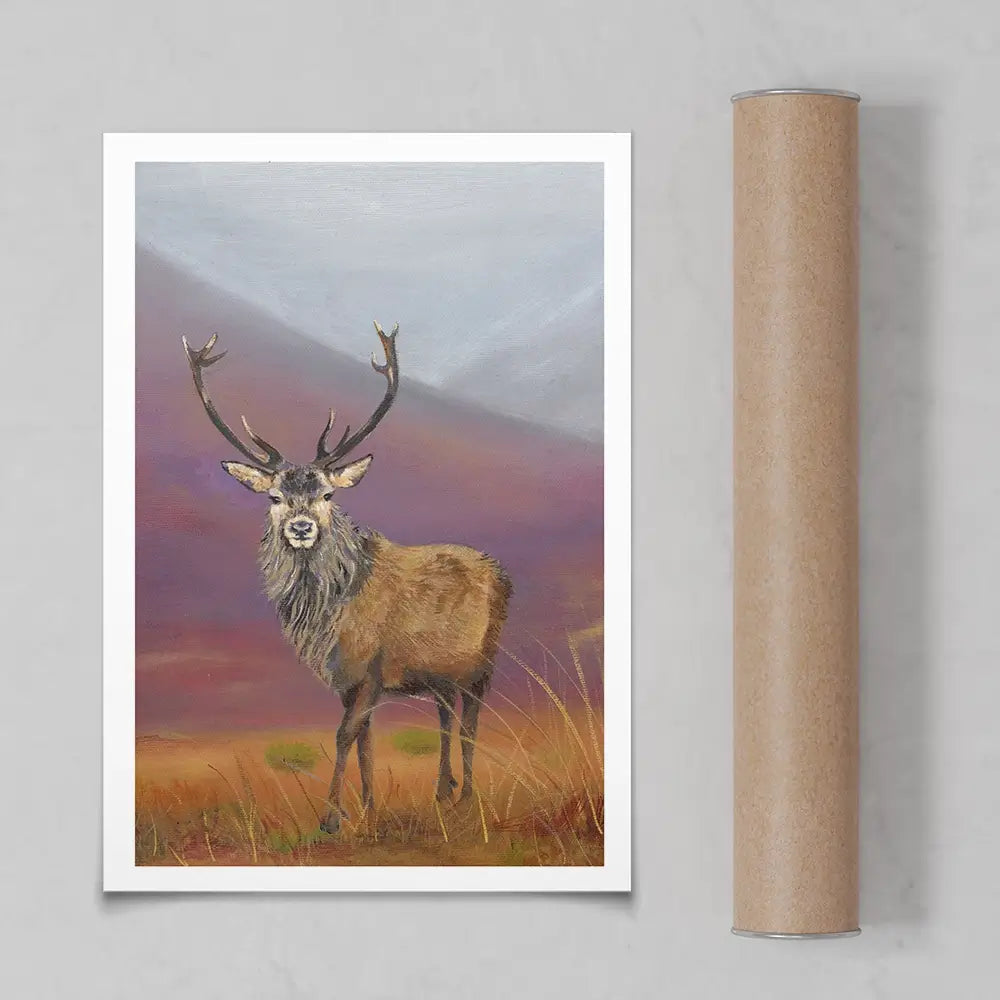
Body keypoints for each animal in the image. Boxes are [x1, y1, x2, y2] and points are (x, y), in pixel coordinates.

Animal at [181, 323, 512, 833]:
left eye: (328, 494)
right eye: (274, 497)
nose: (301, 528)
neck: (329, 617)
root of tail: (500, 572)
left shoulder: (371, 667)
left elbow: (343, 736)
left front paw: (332, 816)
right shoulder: (347, 678)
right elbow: (364, 740)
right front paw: (369, 807)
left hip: (482, 662)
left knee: (472, 721)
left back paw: (466, 798)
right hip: (440, 673)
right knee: (444, 714)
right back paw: (443, 791)